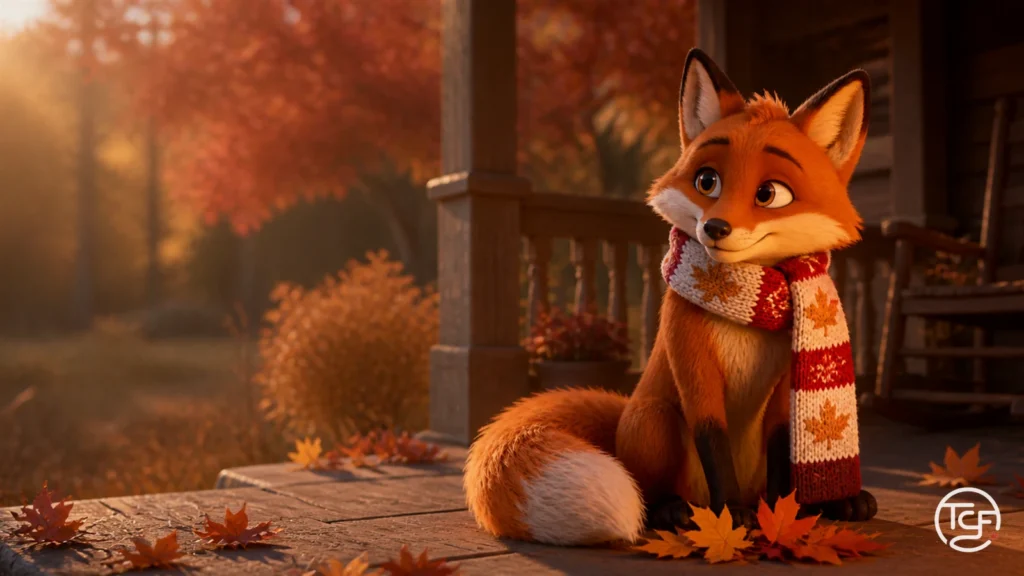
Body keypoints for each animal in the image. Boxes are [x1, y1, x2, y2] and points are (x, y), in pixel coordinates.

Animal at [463, 48, 877, 546]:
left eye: (770, 193)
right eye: (707, 181)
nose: (715, 228)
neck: (745, 306)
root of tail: (623, 418)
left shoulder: (783, 392)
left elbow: (783, 450)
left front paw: (784, 513)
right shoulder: (691, 360)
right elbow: (712, 439)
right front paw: (734, 515)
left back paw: (836, 501)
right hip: (655, 419)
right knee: (651, 489)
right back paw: (678, 511)